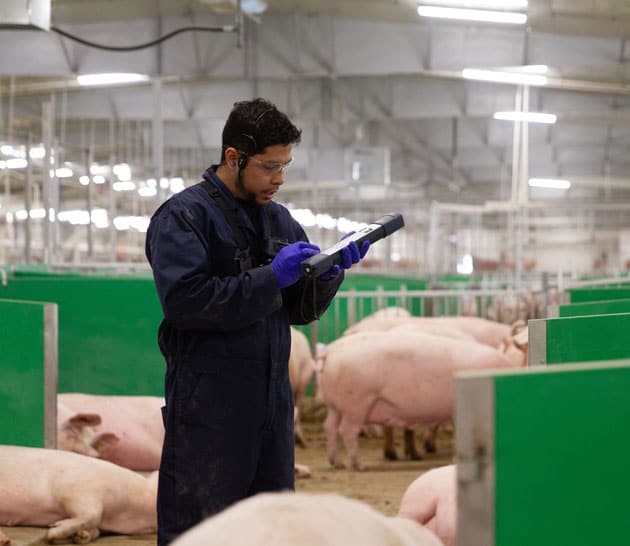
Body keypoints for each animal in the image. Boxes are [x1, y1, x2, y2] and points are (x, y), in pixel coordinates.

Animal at [318, 328, 524, 468]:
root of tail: (330, 351)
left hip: (335, 405)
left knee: (330, 426)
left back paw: (336, 463)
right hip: (357, 403)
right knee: (348, 430)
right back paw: (359, 466)